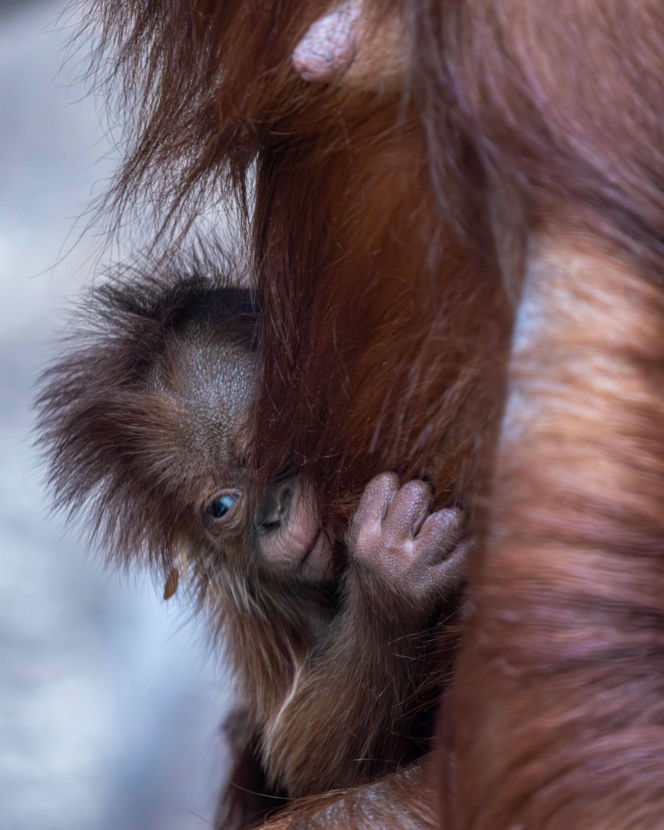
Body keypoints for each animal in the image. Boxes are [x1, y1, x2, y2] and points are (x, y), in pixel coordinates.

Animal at [36, 262, 469, 829]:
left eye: (270, 452)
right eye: (223, 505)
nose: (273, 517)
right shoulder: (245, 597)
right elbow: (311, 762)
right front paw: (392, 572)